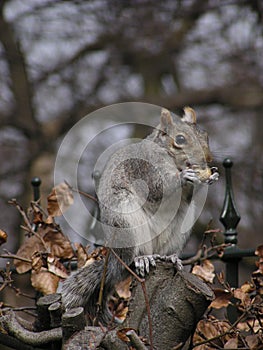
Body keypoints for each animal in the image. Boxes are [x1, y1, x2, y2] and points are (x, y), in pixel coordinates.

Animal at [61, 107, 219, 326]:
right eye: (180, 139)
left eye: (205, 136)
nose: (208, 159)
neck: (170, 157)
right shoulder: (144, 168)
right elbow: (156, 188)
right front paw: (185, 176)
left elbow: (186, 197)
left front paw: (211, 176)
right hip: (126, 220)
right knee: (132, 257)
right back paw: (142, 258)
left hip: (180, 228)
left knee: (164, 250)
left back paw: (169, 257)